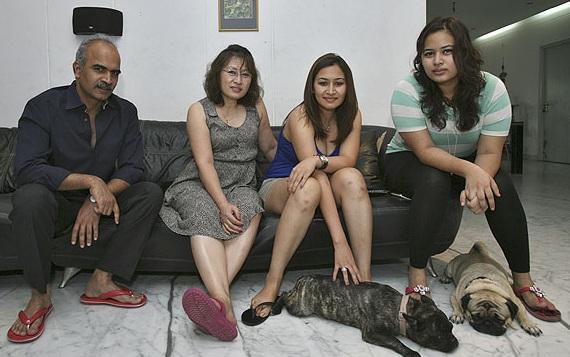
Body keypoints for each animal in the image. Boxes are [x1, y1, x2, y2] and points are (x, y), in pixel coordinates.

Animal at [272, 274, 458, 354]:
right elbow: (396, 342)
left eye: (451, 328)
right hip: (300, 307)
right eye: (438, 337)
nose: (455, 343)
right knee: (284, 294)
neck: (403, 309)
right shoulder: (373, 333)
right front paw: (411, 352)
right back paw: (275, 307)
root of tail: (303, 278)